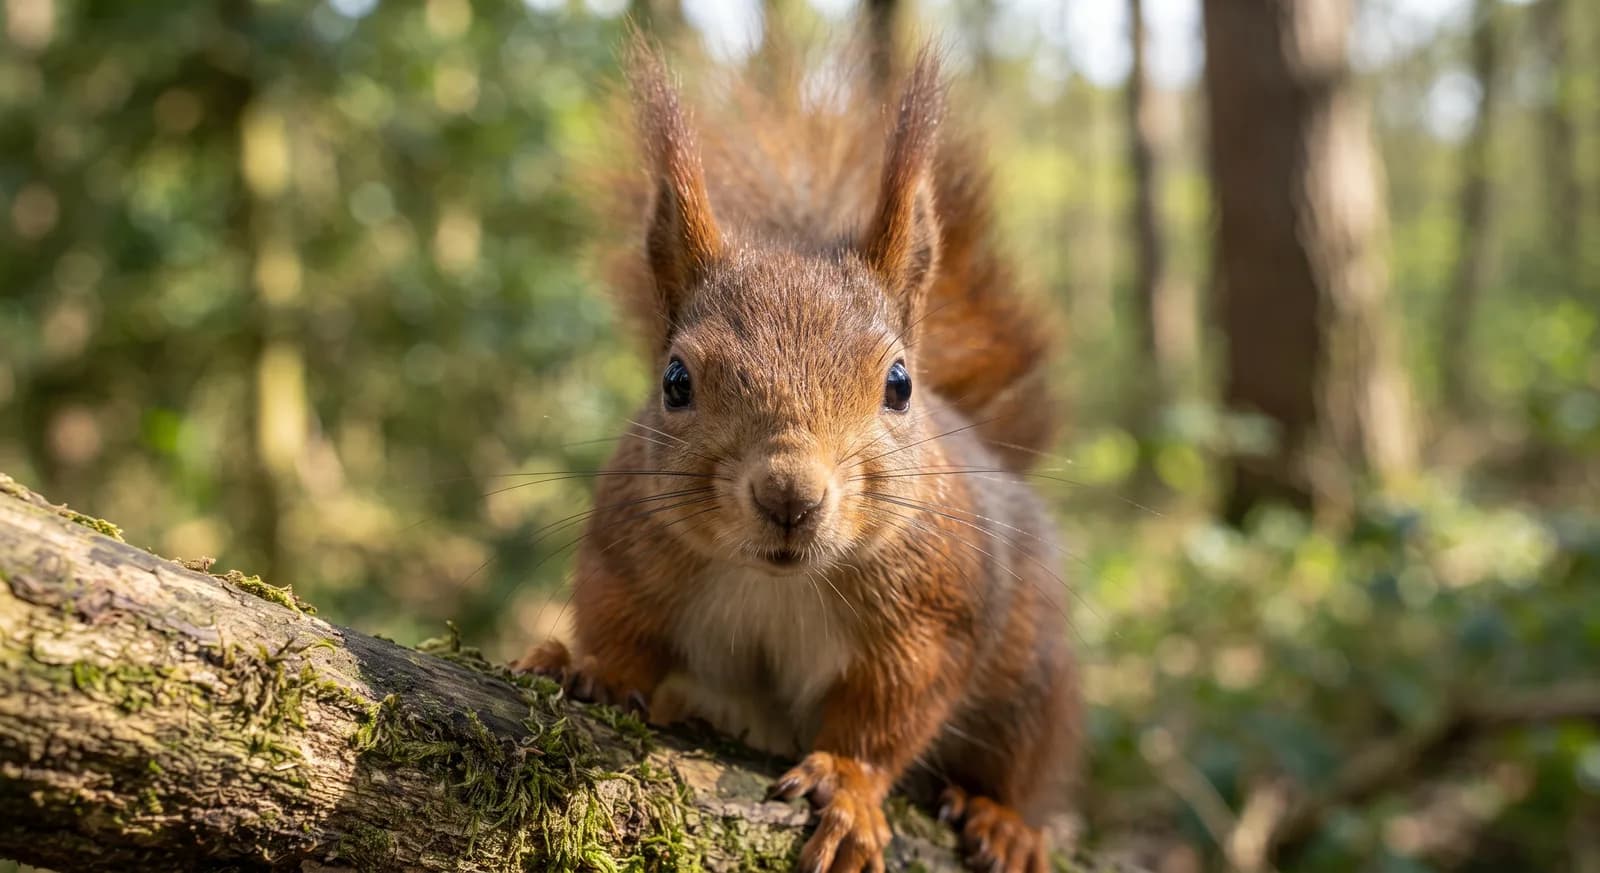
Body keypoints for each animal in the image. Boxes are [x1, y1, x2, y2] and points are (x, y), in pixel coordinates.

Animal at [515, 36, 1080, 873]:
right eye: (675, 381)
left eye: (899, 384)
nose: (789, 494)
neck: (777, 582)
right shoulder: (626, 554)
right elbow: (620, 628)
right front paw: (591, 668)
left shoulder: (932, 617)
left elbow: (890, 712)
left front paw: (847, 784)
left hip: (1033, 688)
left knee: (1020, 764)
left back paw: (1005, 820)